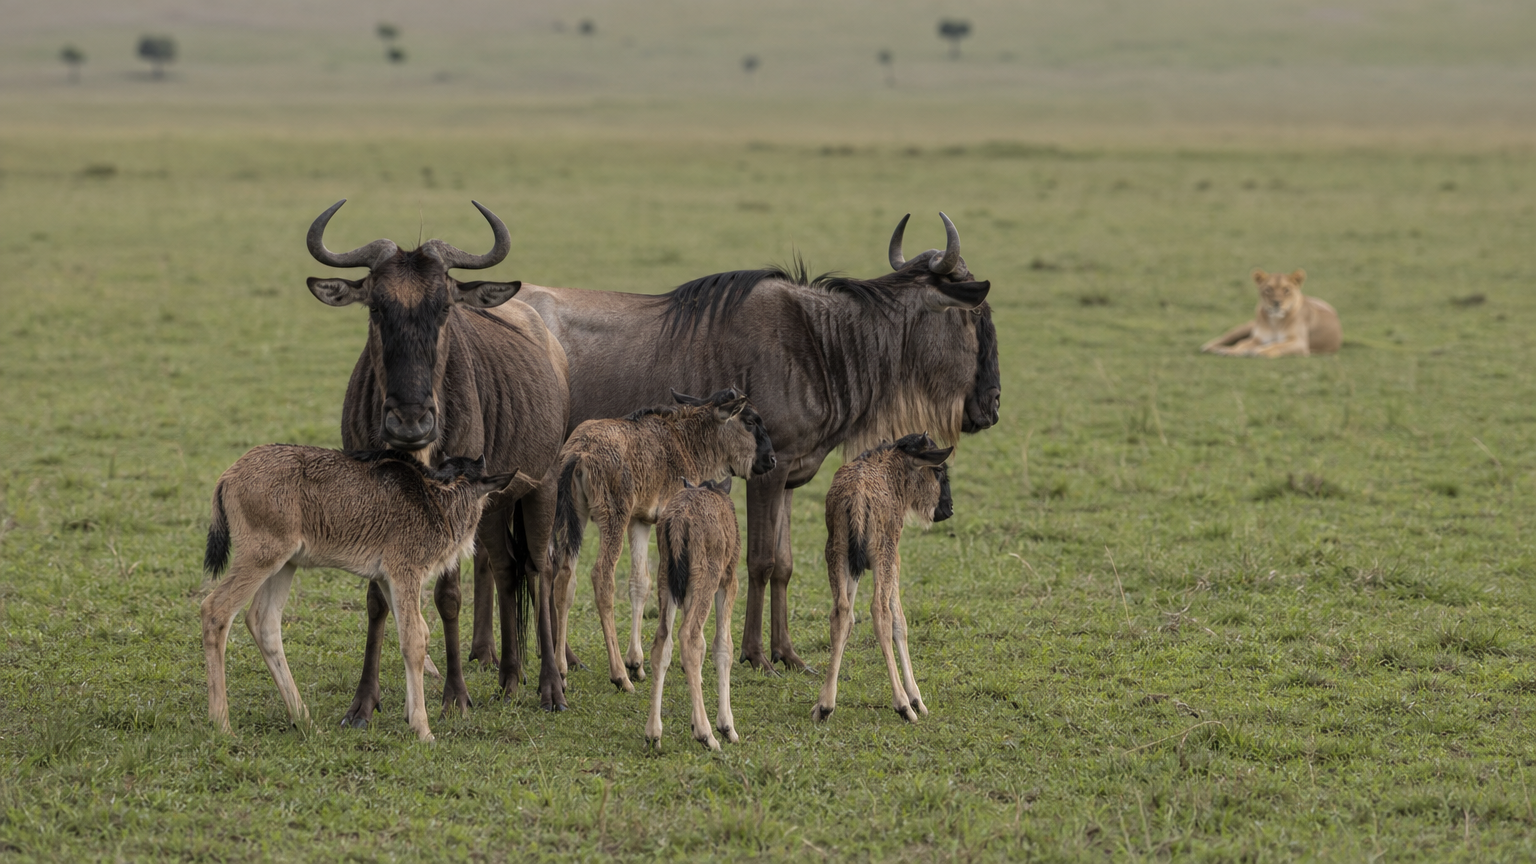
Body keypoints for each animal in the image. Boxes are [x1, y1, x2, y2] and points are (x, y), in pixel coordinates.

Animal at [305, 200, 572, 714]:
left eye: (444, 306)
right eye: (376, 306)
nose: (410, 423)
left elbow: (450, 595)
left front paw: (456, 696)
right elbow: (376, 598)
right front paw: (363, 703)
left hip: (542, 486)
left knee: (540, 569)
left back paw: (551, 687)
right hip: (495, 505)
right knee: (506, 567)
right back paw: (510, 678)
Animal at [515, 213, 1000, 674]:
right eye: (975, 314)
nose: (992, 406)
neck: (822, 346)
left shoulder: (789, 476)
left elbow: (784, 565)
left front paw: (788, 654)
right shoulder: (767, 472)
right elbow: (760, 560)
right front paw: (756, 655)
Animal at [1201, 269, 1341, 358]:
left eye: (1286, 290)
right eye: (1268, 289)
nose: (1276, 303)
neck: (1275, 321)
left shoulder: (1300, 343)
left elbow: (1276, 345)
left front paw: (1260, 351)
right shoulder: (1257, 338)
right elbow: (1242, 344)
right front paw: (1232, 351)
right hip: (1246, 327)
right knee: (1224, 340)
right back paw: (1214, 348)